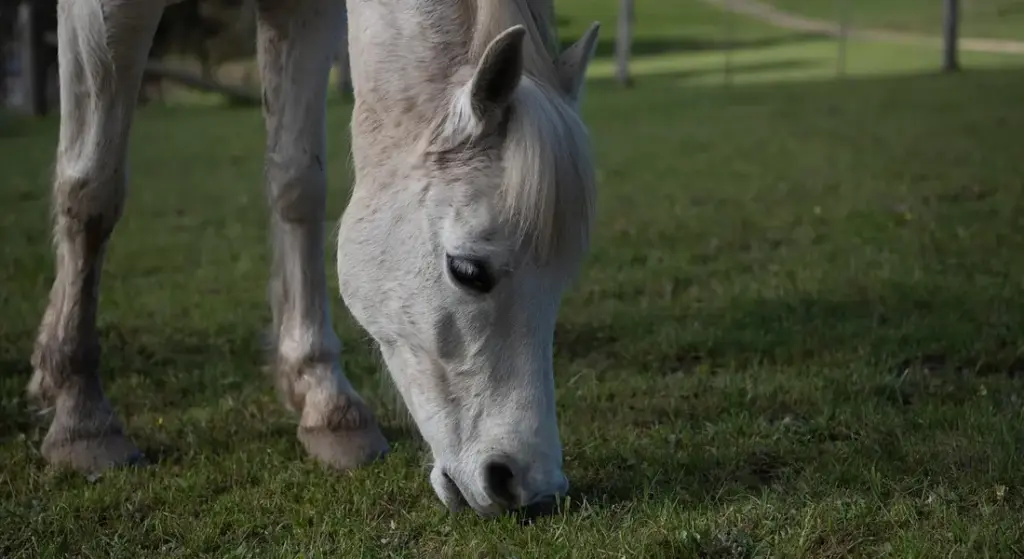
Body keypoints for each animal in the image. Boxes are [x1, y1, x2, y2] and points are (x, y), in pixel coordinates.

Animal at [29, 0, 600, 518]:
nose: (531, 487)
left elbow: (298, 183)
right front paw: (82, 417)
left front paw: (325, 400)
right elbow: (91, 188)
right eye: (468, 271)